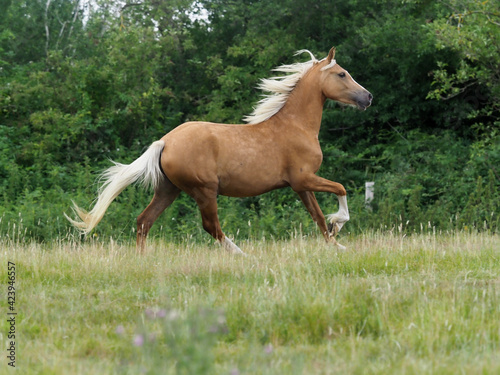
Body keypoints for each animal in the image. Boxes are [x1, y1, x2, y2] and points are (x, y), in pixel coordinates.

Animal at [66, 46, 372, 253]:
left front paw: (336, 244)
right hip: (204, 191)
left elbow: (318, 217)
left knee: (144, 221)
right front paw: (339, 223)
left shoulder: (300, 185)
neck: (295, 125)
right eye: (342, 73)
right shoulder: (303, 178)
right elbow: (341, 188)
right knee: (211, 227)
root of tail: (165, 141)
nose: (367, 97)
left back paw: (142, 260)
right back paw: (242, 255)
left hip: (168, 189)